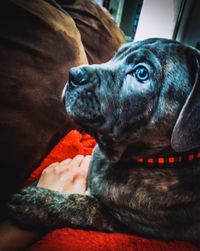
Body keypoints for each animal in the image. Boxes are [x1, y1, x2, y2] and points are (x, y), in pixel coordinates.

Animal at [8, 38, 200, 245]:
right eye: (116, 55)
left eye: (142, 73)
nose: (73, 74)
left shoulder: (129, 223)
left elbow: (87, 206)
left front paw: (37, 203)